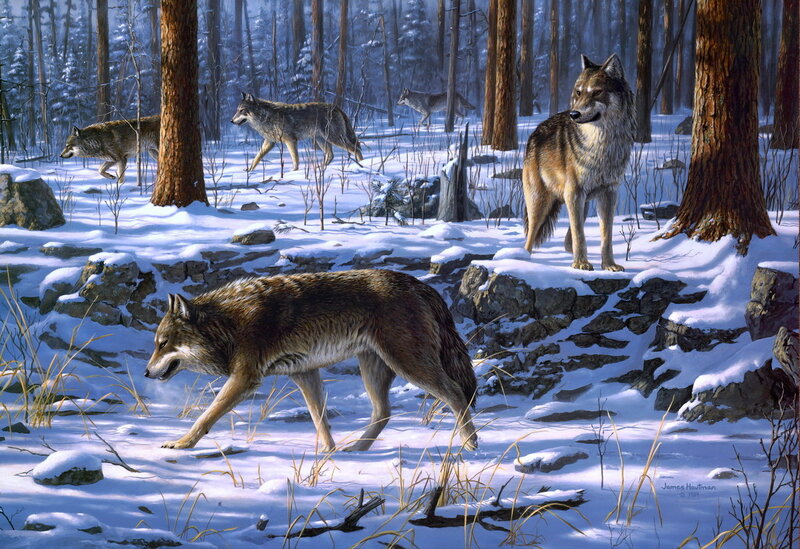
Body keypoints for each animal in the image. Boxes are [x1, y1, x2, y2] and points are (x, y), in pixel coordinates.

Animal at [145, 269, 478, 453]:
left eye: (162, 344)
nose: (146, 373)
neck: (228, 325)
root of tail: (421, 285)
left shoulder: (244, 379)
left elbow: (205, 416)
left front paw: (182, 443)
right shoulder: (304, 373)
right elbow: (320, 420)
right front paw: (328, 455)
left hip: (409, 364)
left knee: (455, 393)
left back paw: (470, 445)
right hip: (375, 367)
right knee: (383, 412)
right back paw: (356, 449)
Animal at [231, 93, 363, 172]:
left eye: (241, 110)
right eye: (237, 110)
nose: (231, 121)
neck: (265, 117)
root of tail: (335, 107)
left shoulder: (290, 140)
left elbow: (295, 158)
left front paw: (294, 172)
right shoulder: (269, 142)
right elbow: (257, 158)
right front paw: (249, 170)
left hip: (334, 138)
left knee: (356, 148)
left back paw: (362, 164)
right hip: (321, 140)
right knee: (331, 155)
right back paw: (320, 168)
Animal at [522, 54, 635, 271]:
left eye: (597, 92)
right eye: (579, 92)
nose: (573, 114)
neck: (602, 145)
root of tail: (534, 133)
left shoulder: (609, 193)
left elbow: (606, 235)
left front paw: (609, 265)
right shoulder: (574, 193)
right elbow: (579, 234)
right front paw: (581, 263)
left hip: (583, 202)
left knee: (569, 236)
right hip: (540, 204)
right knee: (530, 237)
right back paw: (522, 259)